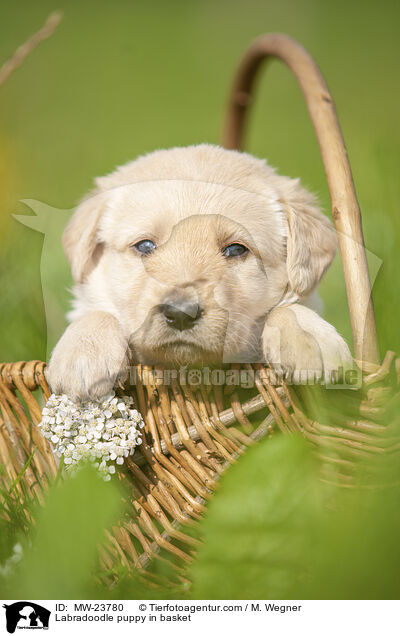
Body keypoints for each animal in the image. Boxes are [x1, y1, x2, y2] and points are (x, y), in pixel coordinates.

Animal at [47, 147, 354, 400]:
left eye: (235, 249)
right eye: (145, 246)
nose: (181, 313)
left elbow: (288, 306)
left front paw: (311, 340)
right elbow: (96, 312)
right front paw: (83, 356)